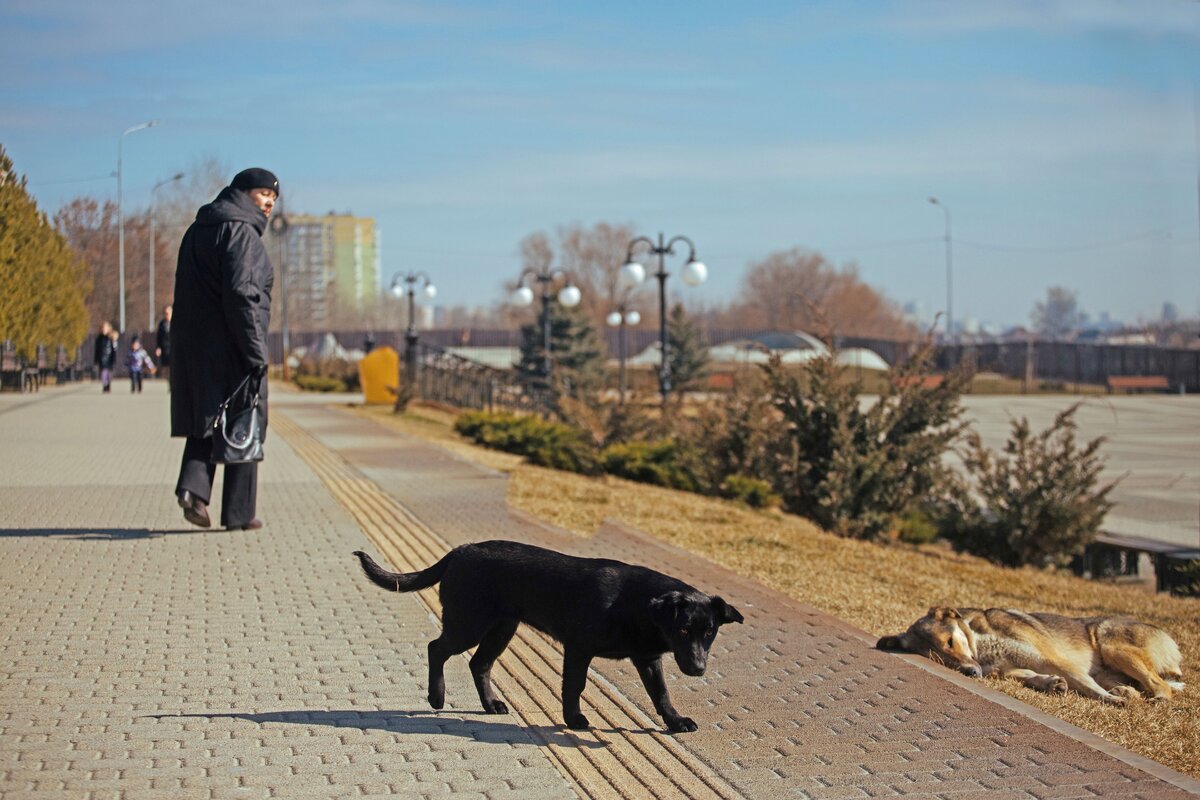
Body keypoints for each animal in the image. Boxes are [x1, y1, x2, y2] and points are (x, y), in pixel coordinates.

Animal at [350, 542, 739, 734]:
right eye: (684, 630)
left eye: (709, 632)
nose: (698, 669)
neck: (636, 605)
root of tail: (458, 552)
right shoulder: (579, 648)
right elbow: (574, 686)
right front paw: (574, 720)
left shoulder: (648, 658)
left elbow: (661, 695)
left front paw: (675, 722)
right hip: (469, 623)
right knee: (437, 648)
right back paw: (437, 696)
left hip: (502, 628)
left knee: (479, 664)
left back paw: (491, 705)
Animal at [878, 609, 1185, 705]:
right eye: (939, 659)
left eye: (951, 642)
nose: (971, 673)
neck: (983, 644)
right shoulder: (1007, 670)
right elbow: (1028, 676)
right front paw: (1052, 684)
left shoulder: (1059, 661)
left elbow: (1086, 686)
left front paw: (1109, 700)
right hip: (1109, 667)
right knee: (1138, 685)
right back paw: (1127, 691)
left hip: (1112, 646)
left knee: (1161, 684)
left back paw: (1152, 697)